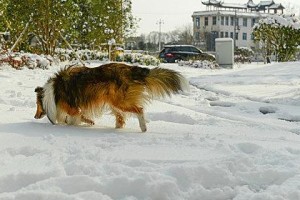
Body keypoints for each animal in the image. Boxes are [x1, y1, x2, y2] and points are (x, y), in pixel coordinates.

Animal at [33, 62, 188, 131]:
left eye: (37, 104)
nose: (35, 116)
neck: (51, 93)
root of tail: (131, 69)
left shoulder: (73, 109)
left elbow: (73, 119)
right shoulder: (77, 109)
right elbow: (81, 117)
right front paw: (89, 122)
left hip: (120, 101)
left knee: (139, 110)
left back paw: (143, 128)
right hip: (113, 102)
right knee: (121, 118)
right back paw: (116, 129)